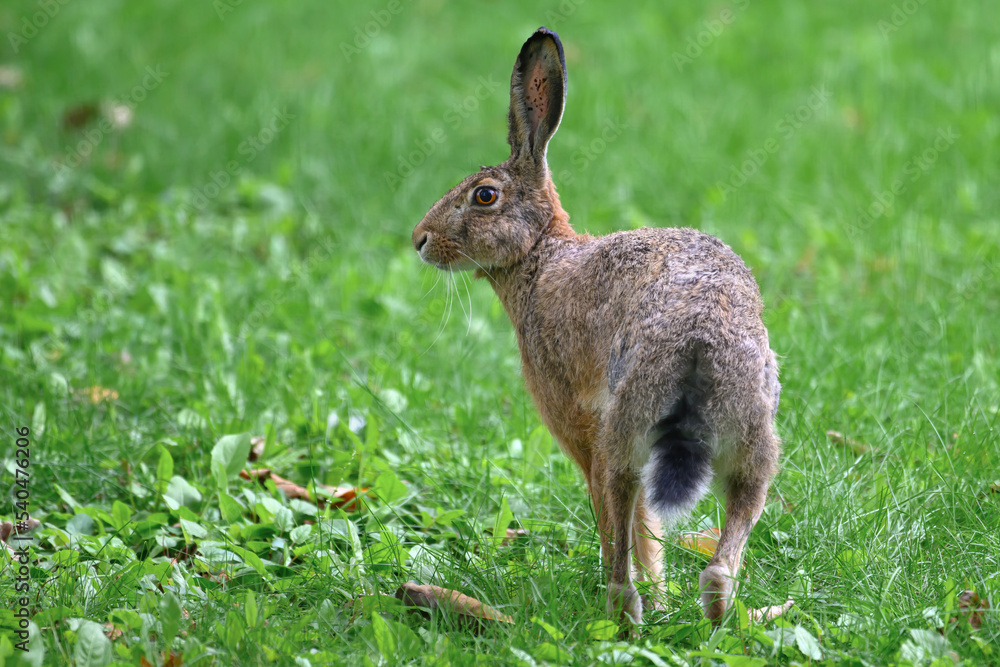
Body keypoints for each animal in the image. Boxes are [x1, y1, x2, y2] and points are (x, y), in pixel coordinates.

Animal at [411, 27, 781, 627]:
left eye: (484, 195)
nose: (419, 239)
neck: (540, 254)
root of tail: (700, 341)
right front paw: (664, 598)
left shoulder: (574, 422)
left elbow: (627, 527)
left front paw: (652, 598)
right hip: (752, 433)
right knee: (724, 547)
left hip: (621, 435)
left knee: (620, 522)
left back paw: (620, 609)